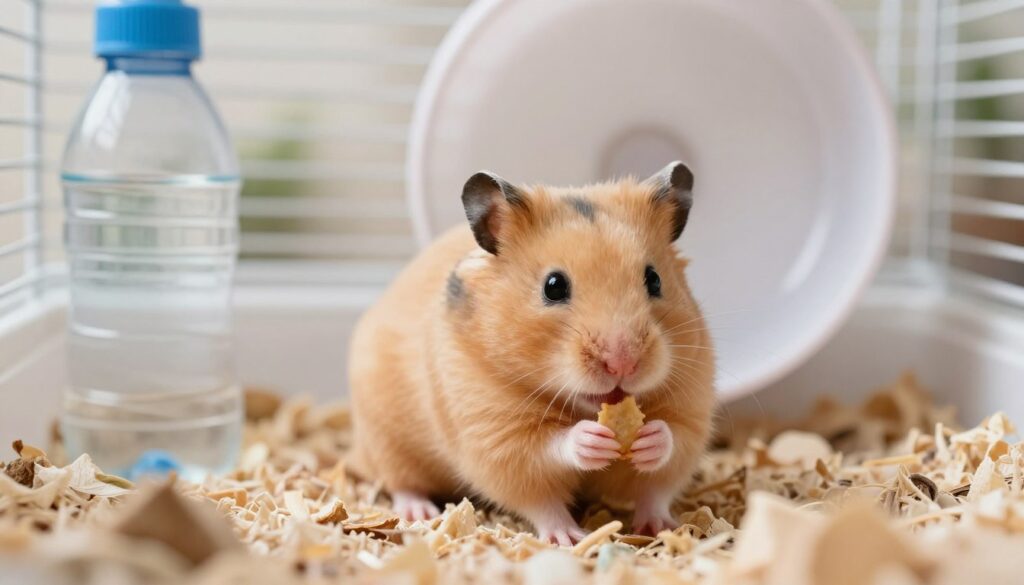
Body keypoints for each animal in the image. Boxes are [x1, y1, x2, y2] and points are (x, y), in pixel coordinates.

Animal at [347, 161, 715, 545]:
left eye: (654, 279)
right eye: (553, 286)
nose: (622, 363)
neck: (580, 406)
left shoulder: (692, 402)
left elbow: (667, 459)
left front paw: (651, 446)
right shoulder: (493, 433)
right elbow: (543, 465)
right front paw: (571, 523)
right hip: (388, 440)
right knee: (400, 481)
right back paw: (421, 512)